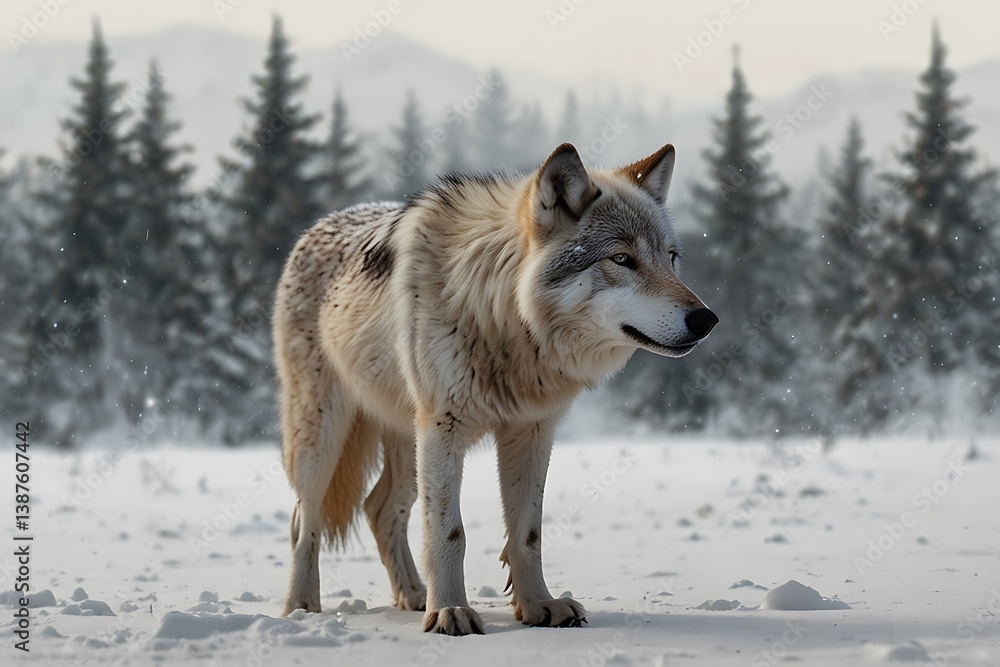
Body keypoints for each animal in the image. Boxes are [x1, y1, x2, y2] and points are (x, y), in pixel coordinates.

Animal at [274, 143, 717, 635]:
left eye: (671, 258)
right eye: (622, 259)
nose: (707, 319)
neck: (505, 319)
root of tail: (317, 226)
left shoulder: (532, 432)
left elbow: (529, 534)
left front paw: (540, 605)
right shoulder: (443, 432)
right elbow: (449, 532)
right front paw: (449, 612)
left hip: (408, 445)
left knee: (379, 509)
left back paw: (411, 595)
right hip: (324, 438)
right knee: (302, 520)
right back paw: (301, 606)